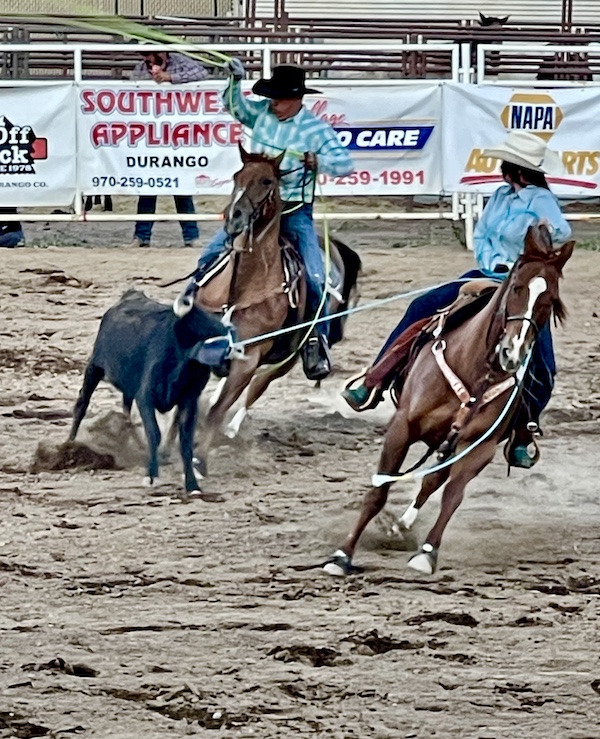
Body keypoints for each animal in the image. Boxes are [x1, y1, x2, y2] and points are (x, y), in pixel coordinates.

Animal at [173, 147, 360, 476]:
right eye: (237, 175)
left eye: (266, 181)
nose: (234, 218)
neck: (240, 288)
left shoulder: (249, 357)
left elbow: (220, 408)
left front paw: (197, 460)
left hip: (289, 354)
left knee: (256, 387)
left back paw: (232, 429)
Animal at [326, 225, 576, 580]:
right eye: (517, 287)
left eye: (550, 299)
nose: (512, 353)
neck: (475, 370)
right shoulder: (402, 427)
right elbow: (378, 492)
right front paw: (341, 556)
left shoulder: (477, 446)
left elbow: (452, 495)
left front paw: (427, 553)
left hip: (451, 442)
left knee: (432, 481)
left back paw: (403, 525)